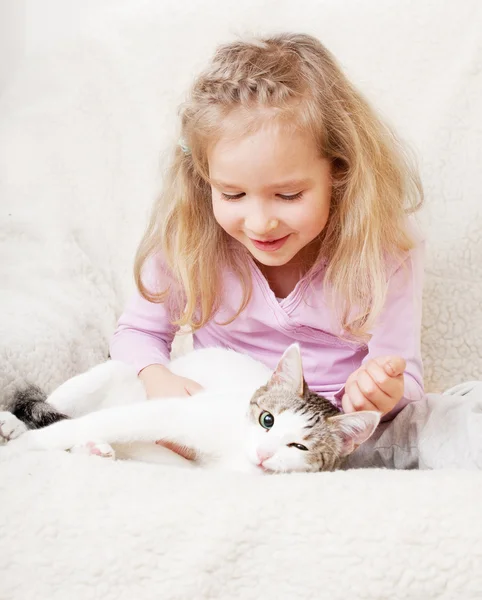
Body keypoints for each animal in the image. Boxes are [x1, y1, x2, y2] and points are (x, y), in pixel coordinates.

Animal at [0, 344, 380, 476]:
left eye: (299, 446)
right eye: (267, 420)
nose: (263, 453)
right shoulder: (175, 412)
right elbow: (68, 429)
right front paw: (20, 449)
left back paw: (96, 448)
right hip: (112, 374)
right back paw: (13, 425)